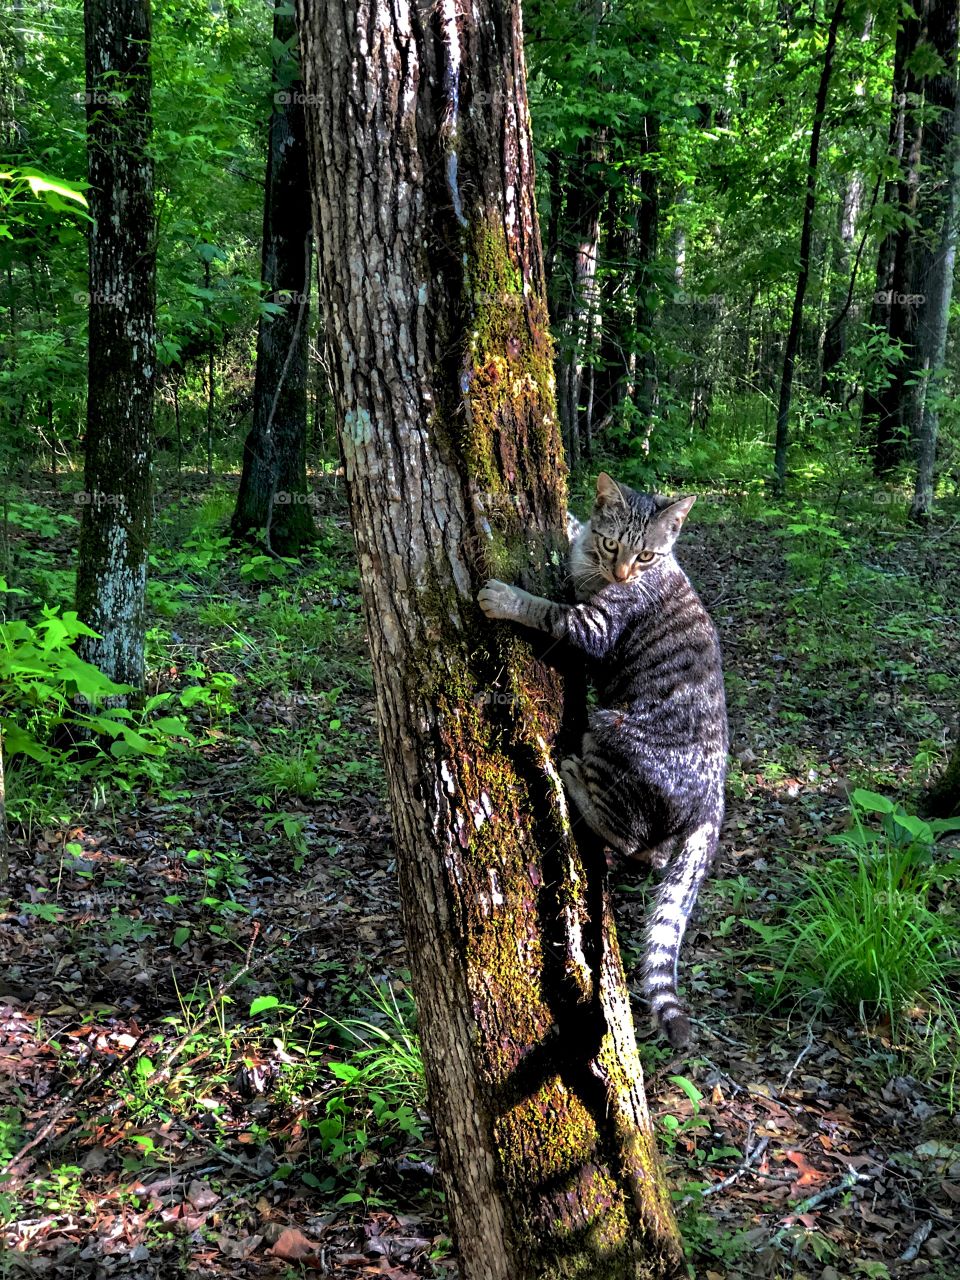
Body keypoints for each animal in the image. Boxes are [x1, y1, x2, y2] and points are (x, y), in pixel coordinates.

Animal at [481, 473, 727, 1049]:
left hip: (608, 729)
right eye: (615, 545)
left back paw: (572, 782)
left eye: (646, 556)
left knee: (628, 837)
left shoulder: (591, 623)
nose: (621, 574)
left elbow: (547, 610)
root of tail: (715, 799)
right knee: (652, 852)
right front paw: (574, 519)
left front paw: (506, 597)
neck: (592, 565)